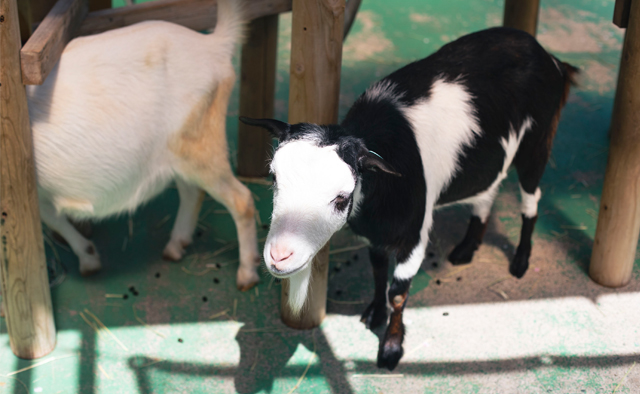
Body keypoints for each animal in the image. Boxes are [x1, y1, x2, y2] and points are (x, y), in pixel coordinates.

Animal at [26, 0, 258, 290]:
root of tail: (215, 44)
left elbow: (52, 220)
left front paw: (88, 259)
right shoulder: (42, 193)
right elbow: (53, 219)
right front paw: (89, 256)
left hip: (202, 145)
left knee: (241, 199)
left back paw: (247, 275)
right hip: (178, 154)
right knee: (192, 192)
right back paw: (175, 246)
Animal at [242, 27, 576, 370]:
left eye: (341, 197)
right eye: (273, 178)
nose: (280, 256)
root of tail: (548, 56)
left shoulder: (413, 236)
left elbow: (398, 293)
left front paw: (391, 349)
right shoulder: (374, 234)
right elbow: (378, 271)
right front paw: (374, 313)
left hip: (537, 142)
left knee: (531, 196)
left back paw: (521, 260)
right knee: (488, 190)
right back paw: (466, 249)